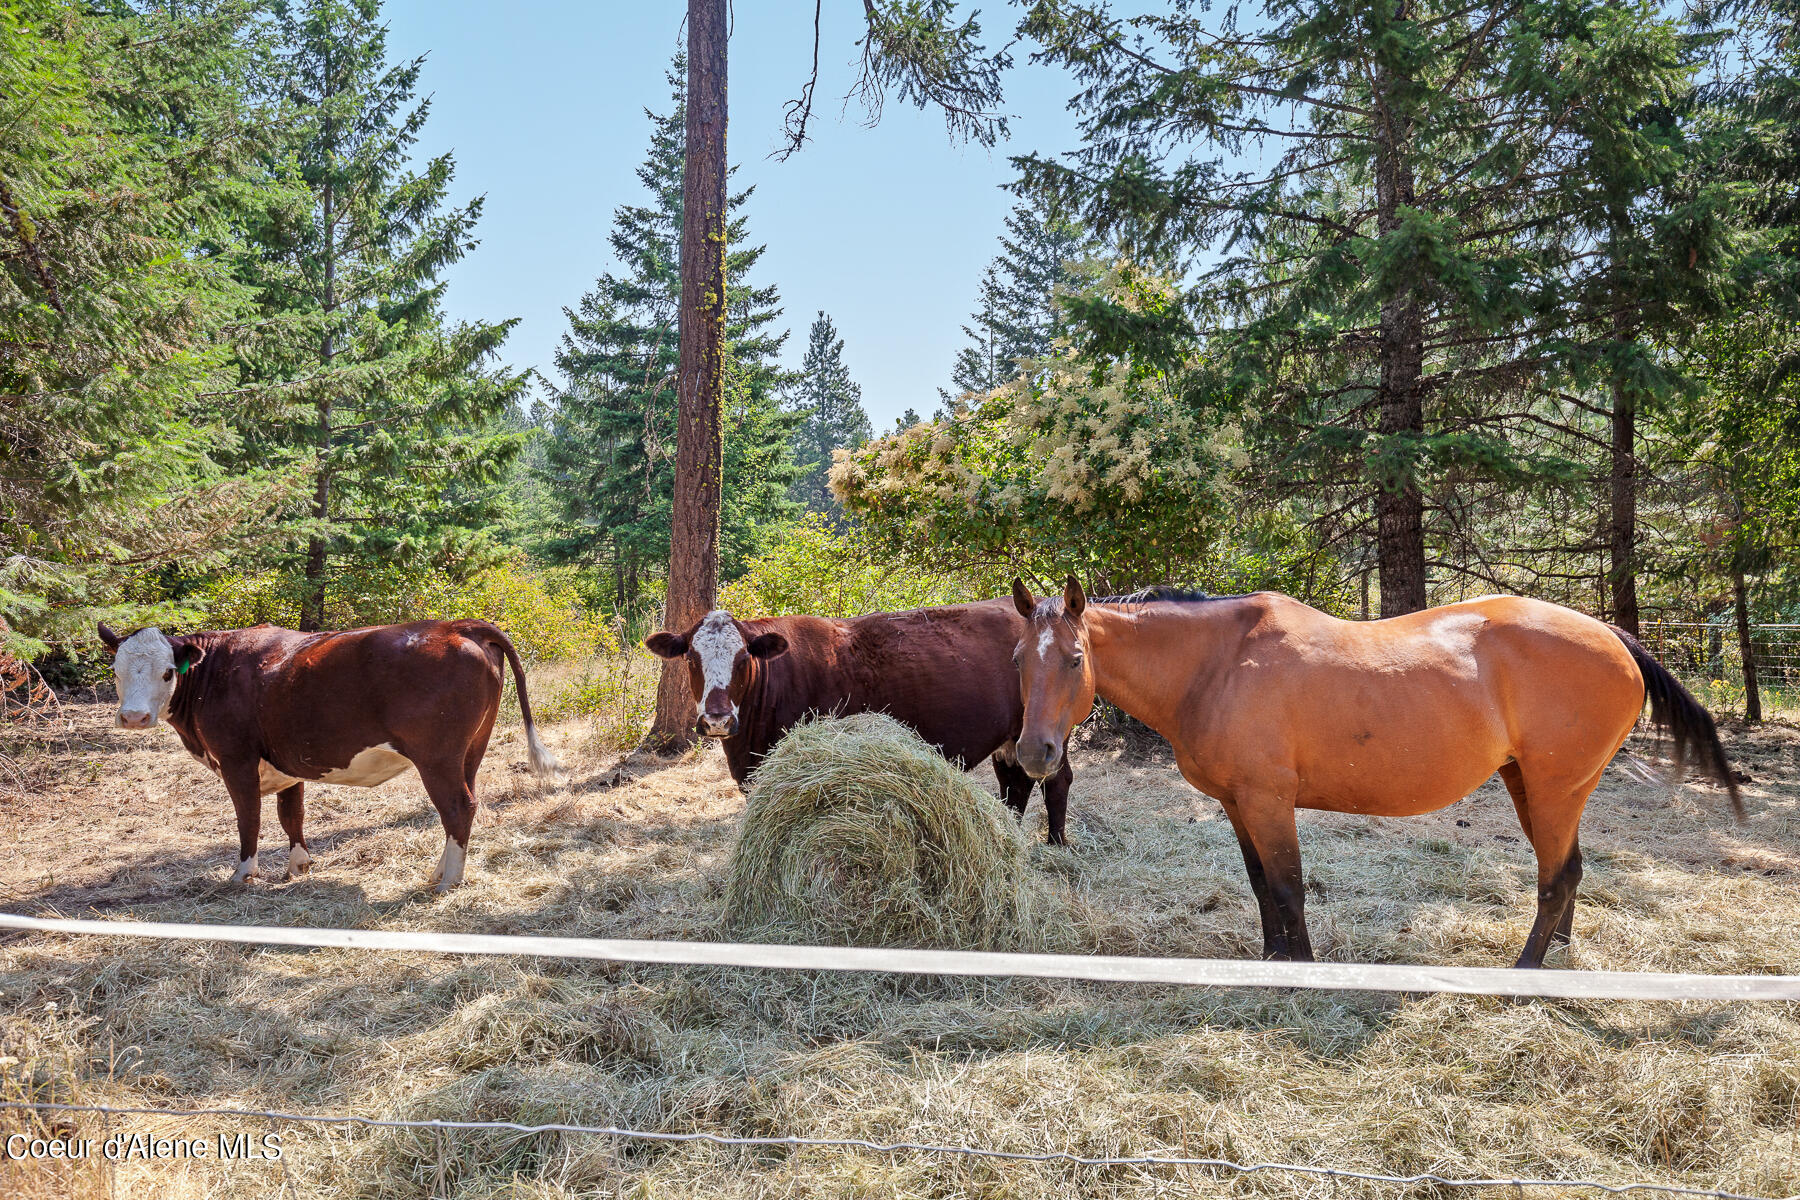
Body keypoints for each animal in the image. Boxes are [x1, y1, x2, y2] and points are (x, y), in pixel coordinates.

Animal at [100, 618, 554, 892]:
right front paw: (298, 866)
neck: (215, 671)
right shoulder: (286, 762)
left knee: (458, 807)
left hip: (437, 757)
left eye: (167, 673)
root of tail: (455, 625)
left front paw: (243, 874)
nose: (134, 717)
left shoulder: (236, 760)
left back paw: (448, 883)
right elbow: (291, 815)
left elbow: (249, 818)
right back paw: (439, 873)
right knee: (465, 805)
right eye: (116, 672)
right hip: (471, 751)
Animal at [644, 600, 1072, 845]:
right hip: (1011, 739)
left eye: (743, 658)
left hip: (1046, 732)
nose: (716, 718)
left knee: (1057, 780)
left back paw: (1055, 844)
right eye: (691, 658)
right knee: (1015, 784)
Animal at [1008, 579, 1735, 964]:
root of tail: (1616, 637)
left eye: (1075, 659)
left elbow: (1288, 888)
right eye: (1018, 659)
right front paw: (1271, 962)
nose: (1036, 753)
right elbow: (1261, 886)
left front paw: (1300, 968)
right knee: (1571, 873)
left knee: (1555, 882)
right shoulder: (1238, 804)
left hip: (1557, 789)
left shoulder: (1269, 802)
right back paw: (1554, 958)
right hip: (1533, 786)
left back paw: (1527, 973)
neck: (1221, 663)